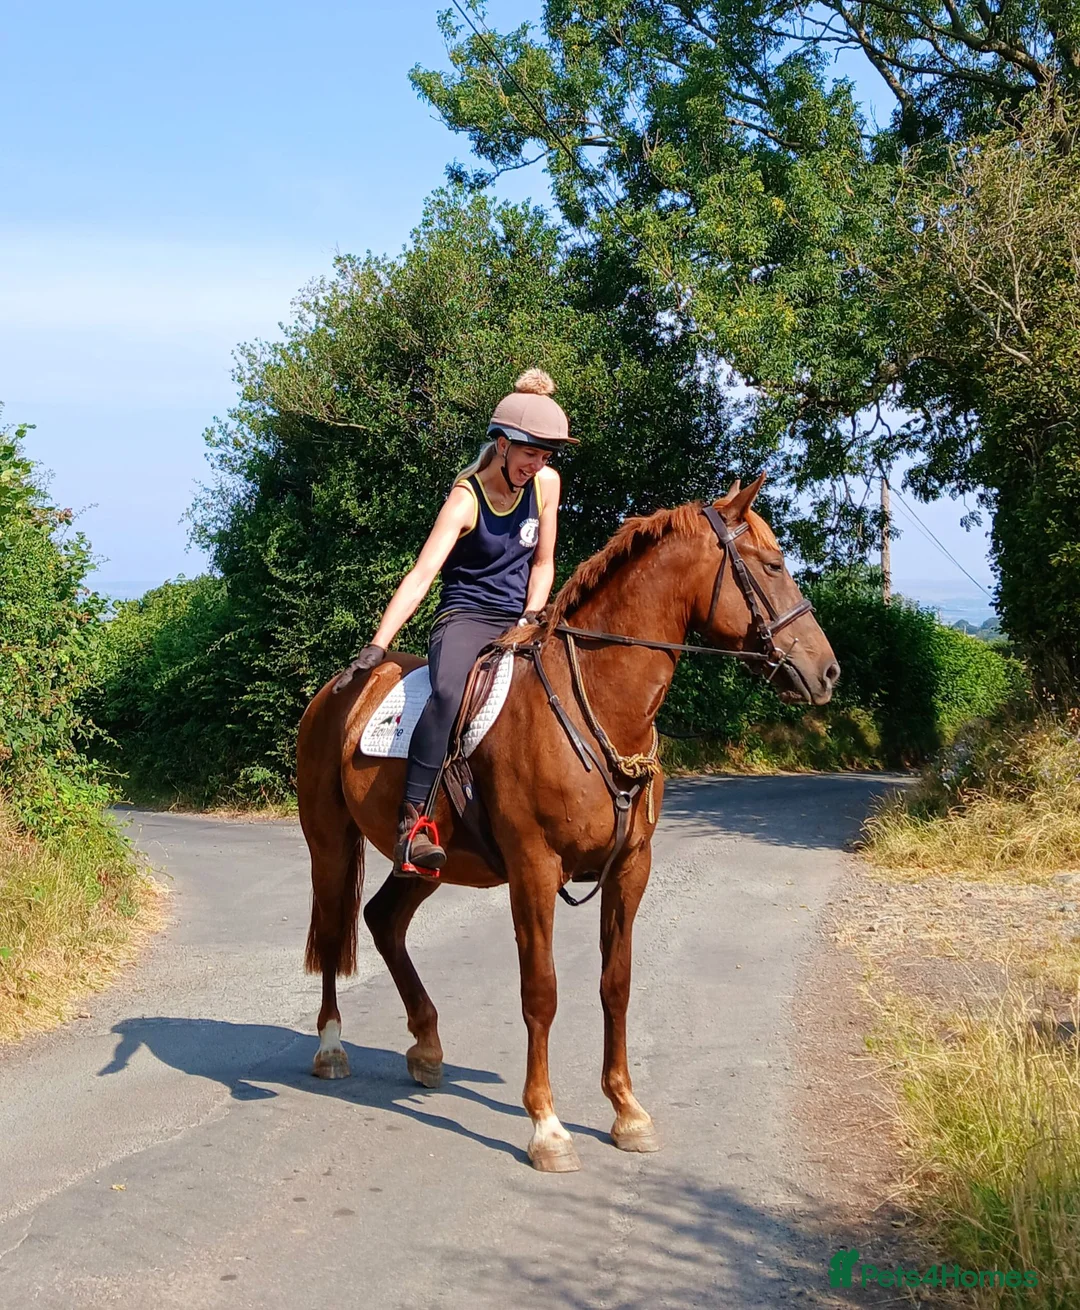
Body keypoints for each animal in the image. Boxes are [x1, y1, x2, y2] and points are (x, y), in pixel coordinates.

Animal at [296, 475, 839, 1172]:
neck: (600, 705)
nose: (827, 672)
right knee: (334, 929)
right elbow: (542, 991)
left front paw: (627, 1111)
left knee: (384, 920)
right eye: (772, 566)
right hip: (331, 844)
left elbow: (616, 984)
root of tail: (342, 688)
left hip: (429, 863)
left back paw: (427, 1045)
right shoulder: (534, 868)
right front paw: (547, 1127)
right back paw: (332, 1048)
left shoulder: (631, 869)